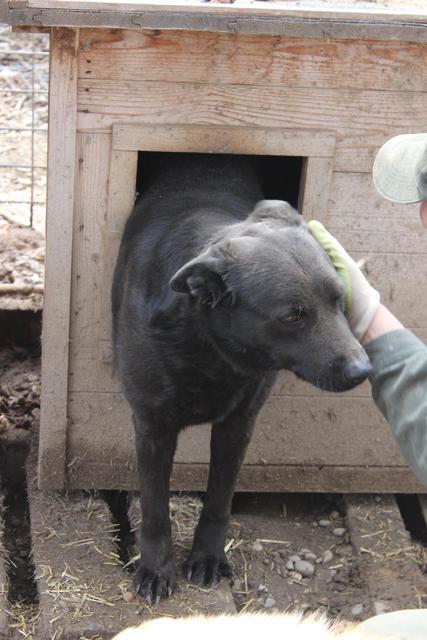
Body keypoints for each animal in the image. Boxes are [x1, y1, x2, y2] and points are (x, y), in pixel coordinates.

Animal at [112, 152, 372, 604]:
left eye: (339, 298)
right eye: (292, 316)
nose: (363, 370)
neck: (209, 350)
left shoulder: (239, 423)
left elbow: (219, 497)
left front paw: (208, 557)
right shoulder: (151, 426)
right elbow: (154, 507)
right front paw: (156, 569)